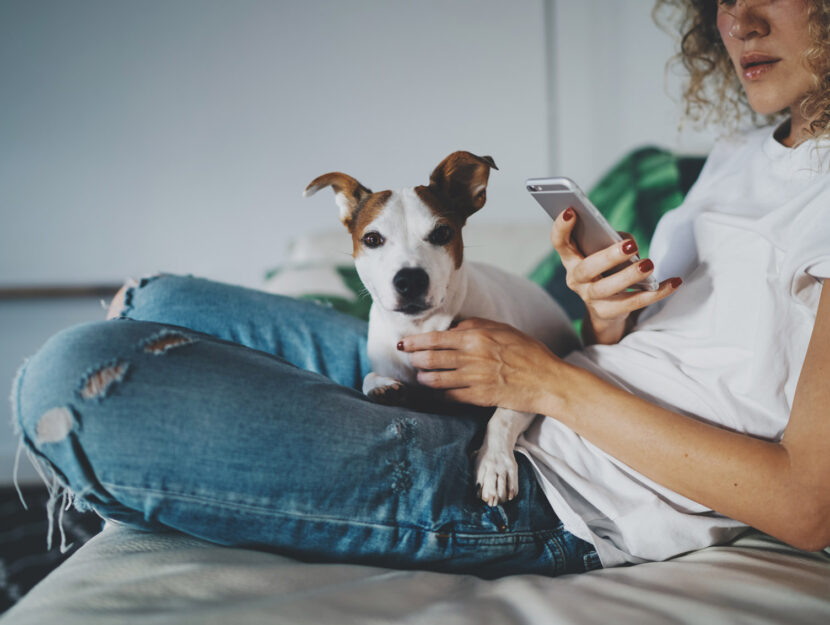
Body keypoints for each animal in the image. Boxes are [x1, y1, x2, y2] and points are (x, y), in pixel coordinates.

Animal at [302, 152, 580, 508]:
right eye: (372, 239)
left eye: (441, 233)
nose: (410, 279)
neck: (421, 328)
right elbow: (369, 377)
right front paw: (381, 386)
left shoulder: (527, 384)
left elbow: (502, 417)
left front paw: (495, 464)